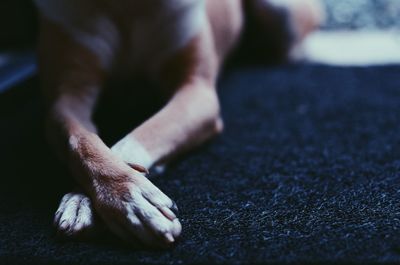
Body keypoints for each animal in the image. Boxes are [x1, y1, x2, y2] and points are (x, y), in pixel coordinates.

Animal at [33, 0, 322, 248]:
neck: (128, 6)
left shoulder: (196, 91)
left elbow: (138, 137)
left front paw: (132, 200)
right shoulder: (68, 97)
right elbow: (81, 140)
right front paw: (96, 197)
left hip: (278, 10)